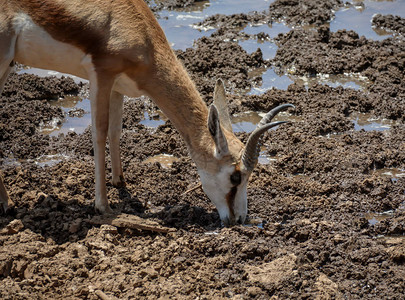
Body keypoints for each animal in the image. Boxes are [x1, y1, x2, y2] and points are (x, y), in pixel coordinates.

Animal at [0, 0, 294, 225]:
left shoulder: (117, 86)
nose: (239, 219)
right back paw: (8, 204)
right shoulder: (101, 75)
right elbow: (100, 132)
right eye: (236, 176)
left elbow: (116, 131)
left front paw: (120, 182)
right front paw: (103, 206)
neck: (140, 33)